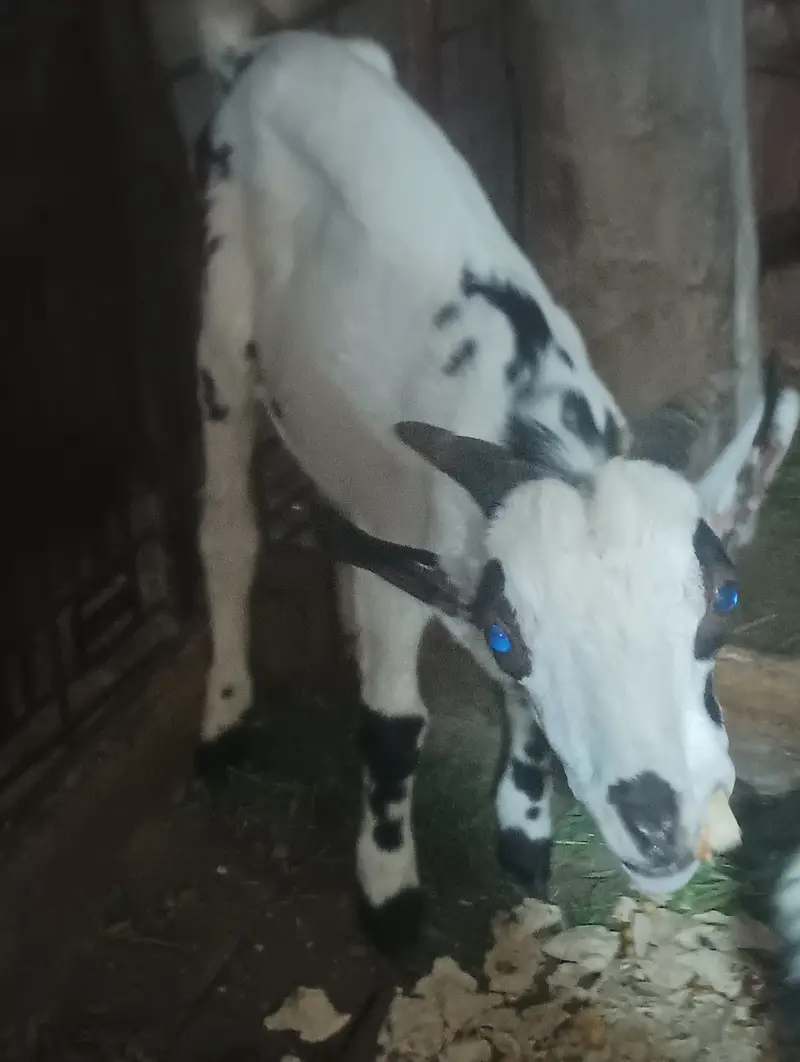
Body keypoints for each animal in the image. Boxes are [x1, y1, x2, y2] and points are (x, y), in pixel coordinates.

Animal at [191, 19, 796, 954]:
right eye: (509, 637)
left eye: (725, 600)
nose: (660, 820)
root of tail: (272, 47)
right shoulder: (405, 560)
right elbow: (394, 729)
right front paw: (389, 893)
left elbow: (526, 722)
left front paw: (524, 837)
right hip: (222, 322)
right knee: (227, 534)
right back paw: (223, 720)